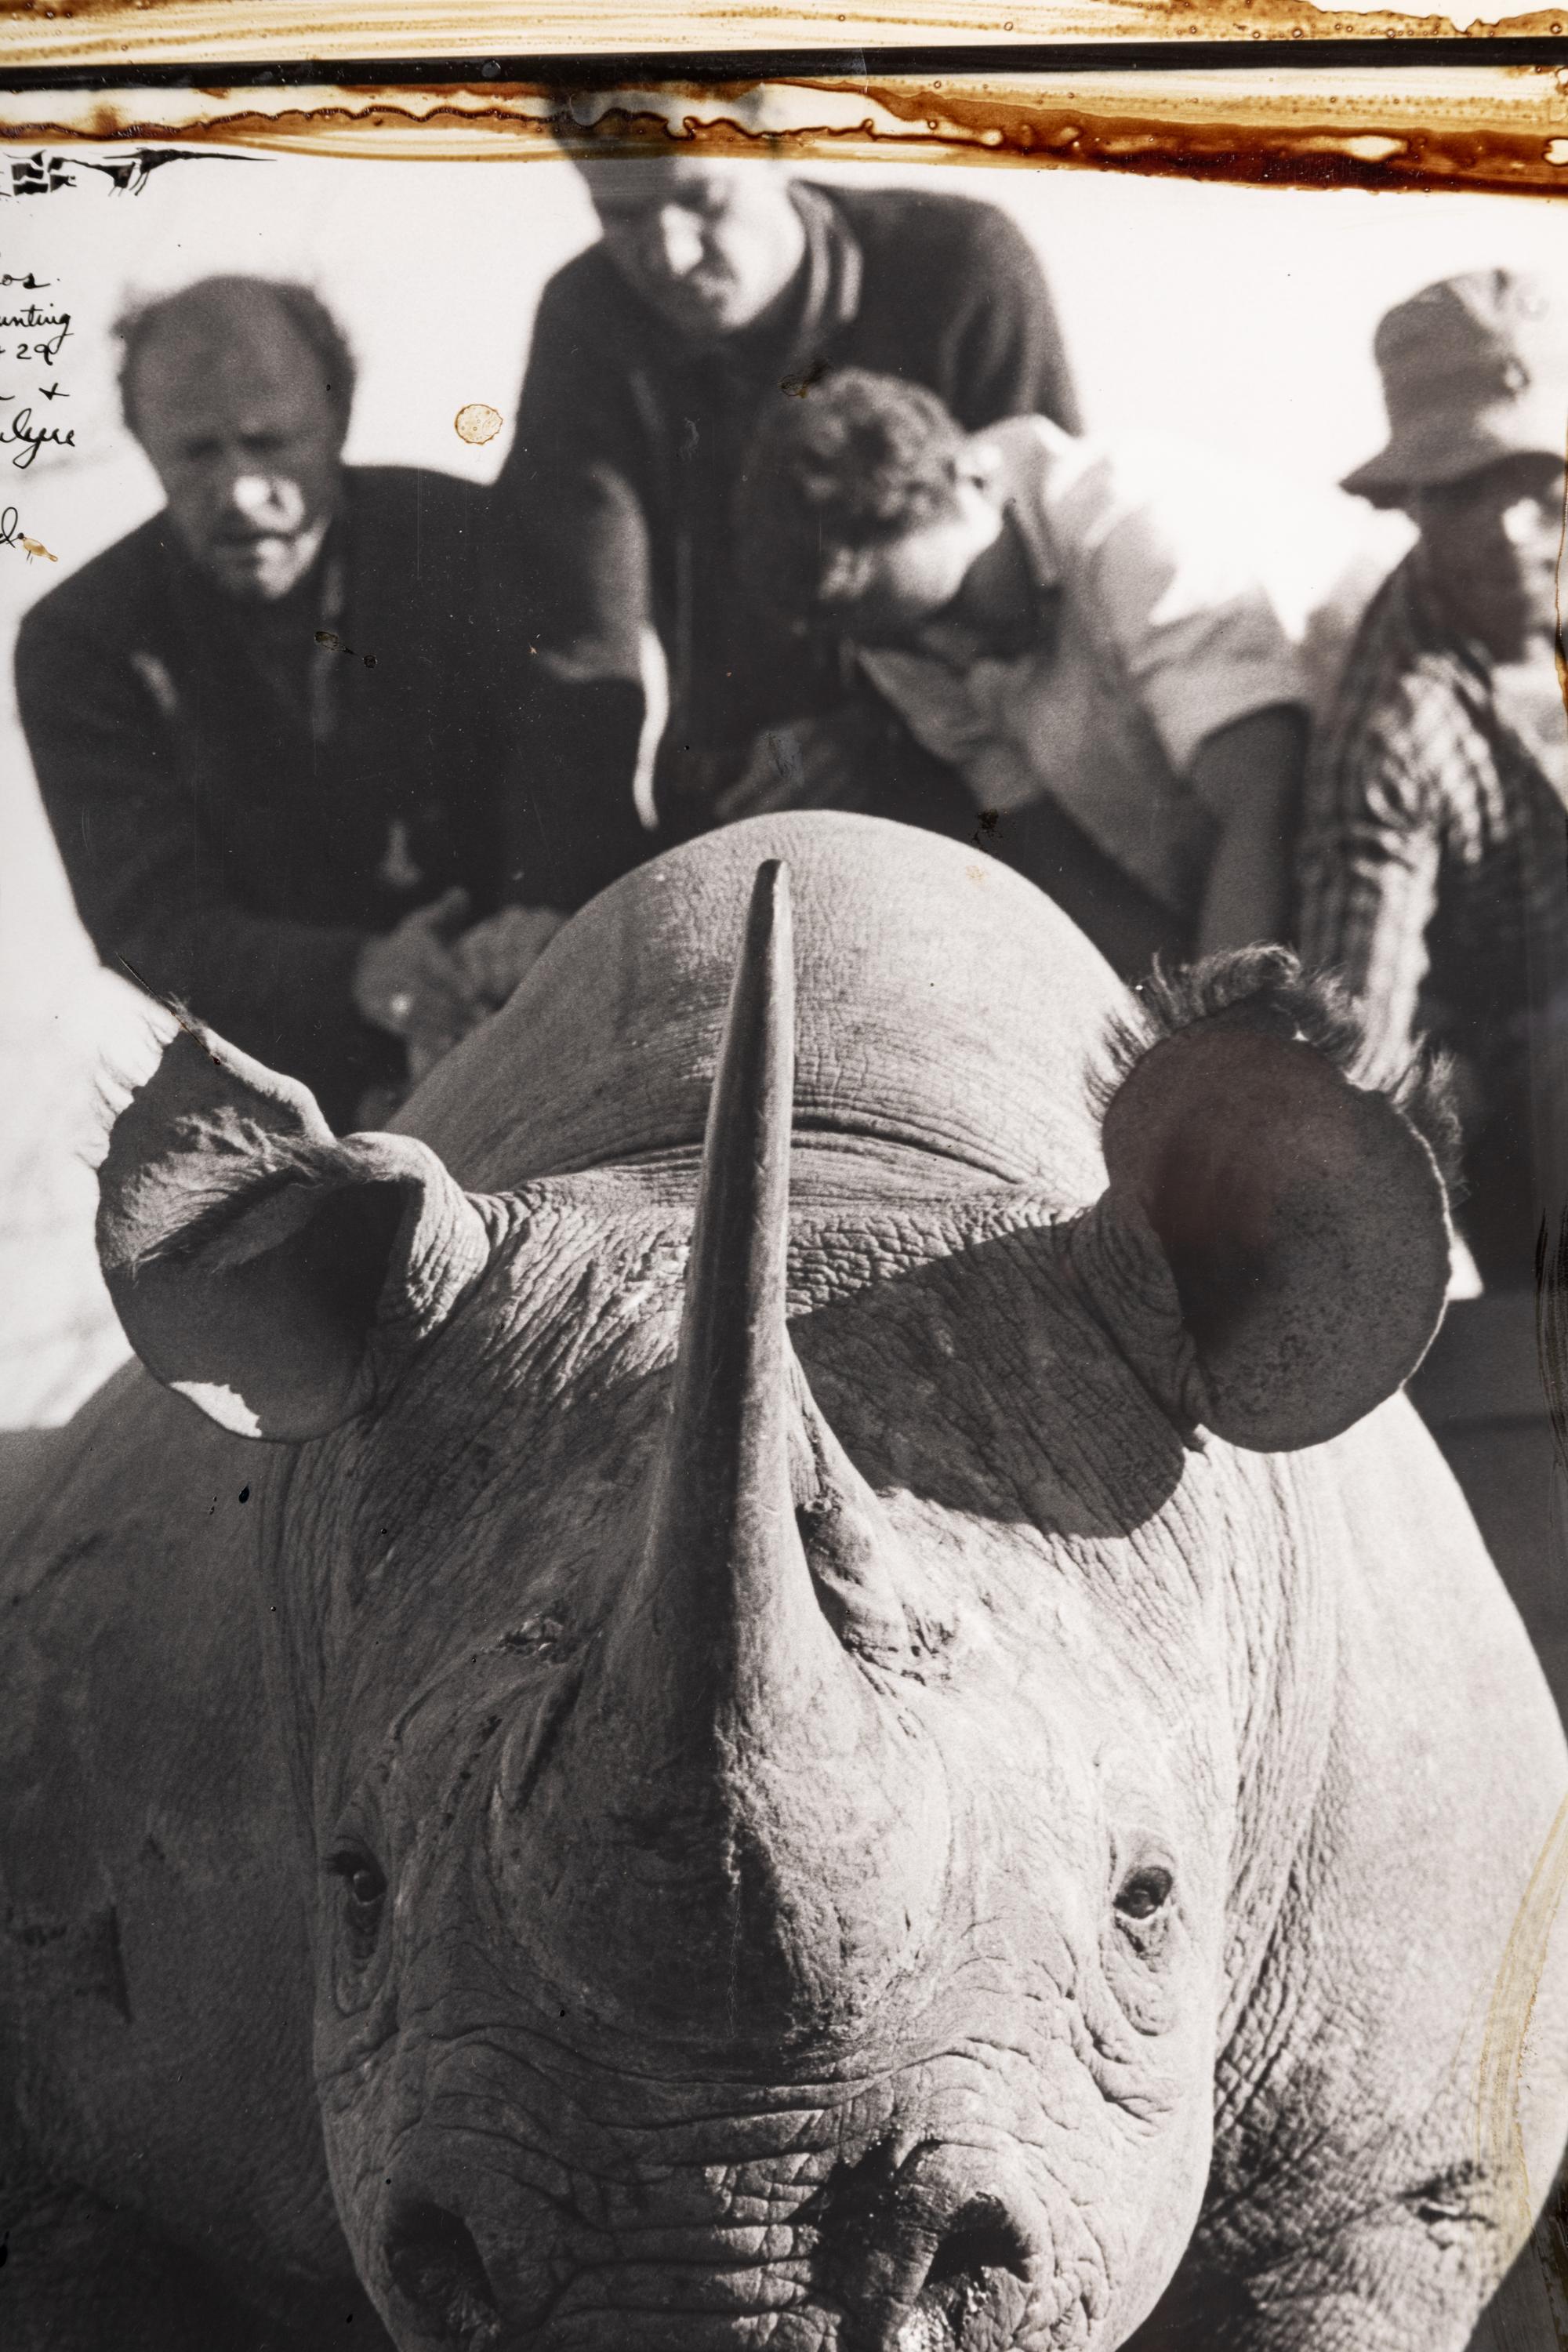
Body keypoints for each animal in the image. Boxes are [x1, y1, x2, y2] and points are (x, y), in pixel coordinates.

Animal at [3, 811, 1566, 2352]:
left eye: (1149, 1902)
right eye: (354, 1889)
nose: (715, 2282)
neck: (846, 1155)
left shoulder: (1382, 2193)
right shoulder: (96, 2164)